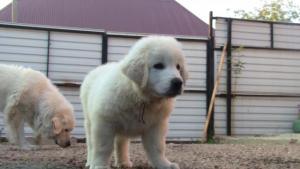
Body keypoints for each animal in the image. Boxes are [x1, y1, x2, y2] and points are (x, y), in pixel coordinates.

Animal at [79, 36, 188, 169]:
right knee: (91, 143)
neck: (140, 97)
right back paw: (90, 161)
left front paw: (163, 164)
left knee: (120, 142)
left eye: (178, 67)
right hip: (89, 120)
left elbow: (157, 148)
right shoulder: (104, 122)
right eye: (158, 65)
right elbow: (103, 147)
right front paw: (100, 165)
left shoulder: (156, 125)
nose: (178, 83)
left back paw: (123, 162)